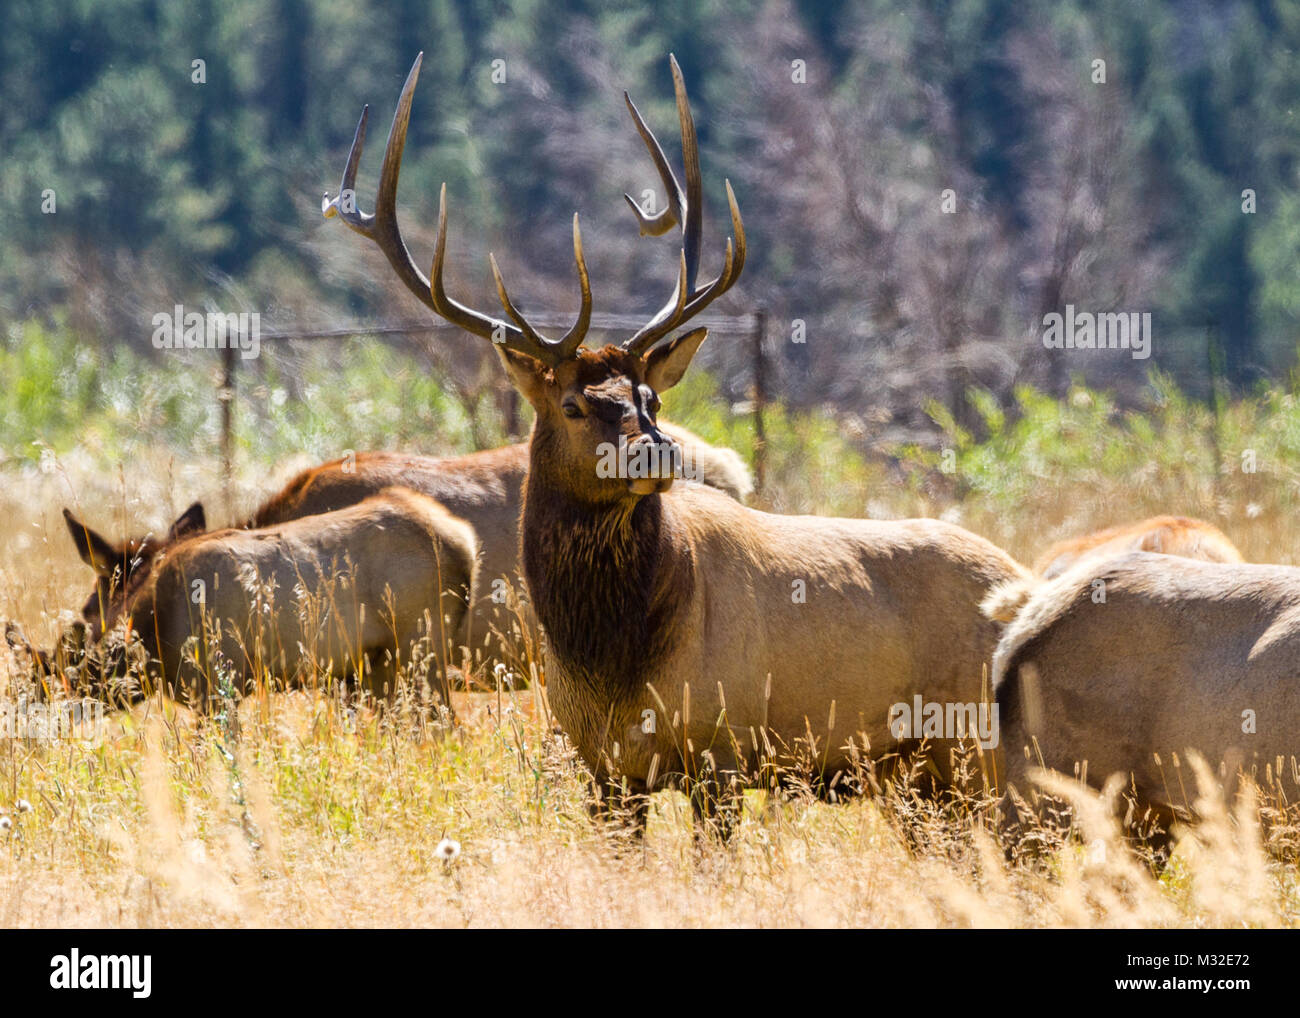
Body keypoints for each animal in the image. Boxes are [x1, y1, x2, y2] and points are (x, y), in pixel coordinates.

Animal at [319, 53, 1029, 837]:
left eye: (650, 399)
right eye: (574, 404)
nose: (657, 450)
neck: (612, 665)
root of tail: (1024, 576)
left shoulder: (724, 751)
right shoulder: (602, 768)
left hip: (973, 753)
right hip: (919, 780)